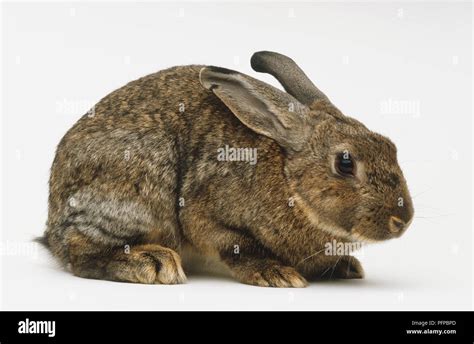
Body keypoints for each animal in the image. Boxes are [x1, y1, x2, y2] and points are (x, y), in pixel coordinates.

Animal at [39, 51, 412, 288]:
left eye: (390, 147)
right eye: (345, 162)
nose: (403, 220)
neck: (289, 179)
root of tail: (53, 219)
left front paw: (346, 267)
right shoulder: (205, 216)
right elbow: (235, 244)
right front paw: (276, 273)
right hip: (139, 190)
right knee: (79, 251)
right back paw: (152, 263)